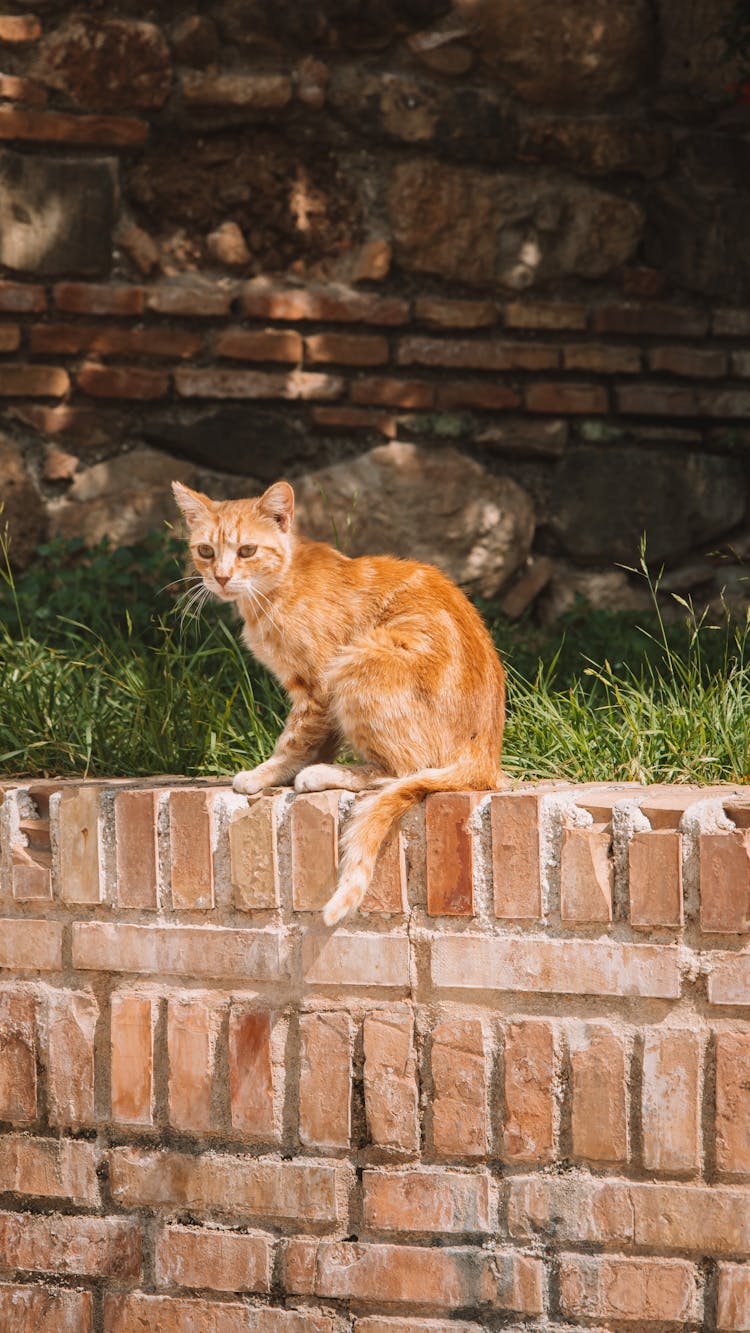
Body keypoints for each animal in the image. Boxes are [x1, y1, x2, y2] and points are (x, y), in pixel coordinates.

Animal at [173, 479, 508, 927]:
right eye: (206, 550)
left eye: (247, 550)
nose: (222, 578)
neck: (279, 587)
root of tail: (485, 758)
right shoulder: (319, 697)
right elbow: (317, 738)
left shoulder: (318, 684)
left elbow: (294, 741)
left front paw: (267, 773)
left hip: (359, 662)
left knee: (402, 771)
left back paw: (325, 774)